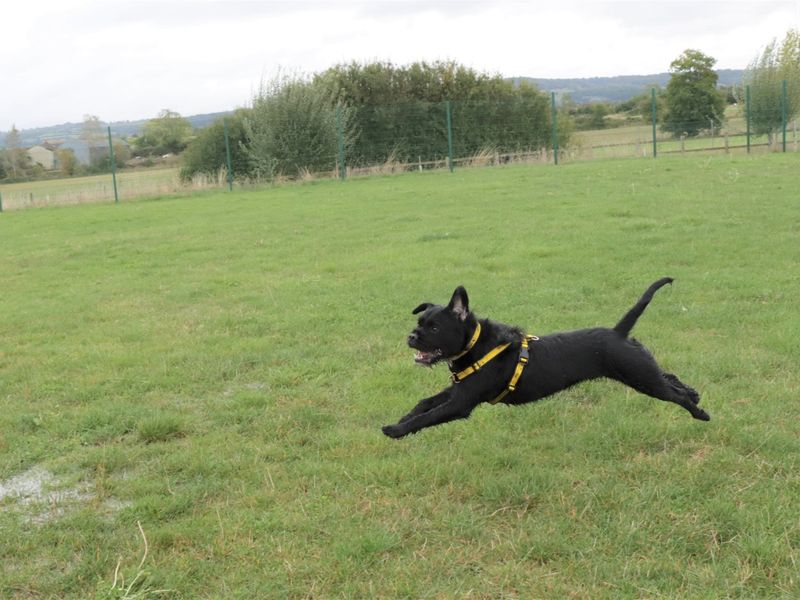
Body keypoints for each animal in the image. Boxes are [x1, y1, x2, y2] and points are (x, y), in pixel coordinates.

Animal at [384, 278, 708, 440]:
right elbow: (424, 404)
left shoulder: (462, 401)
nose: (411, 337)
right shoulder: (458, 389)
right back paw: (694, 393)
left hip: (640, 377)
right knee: (670, 378)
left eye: (434, 327)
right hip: (642, 370)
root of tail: (619, 332)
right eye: (418, 323)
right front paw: (402, 419)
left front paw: (395, 431)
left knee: (675, 396)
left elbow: (429, 416)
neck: (475, 346)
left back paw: (700, 413)